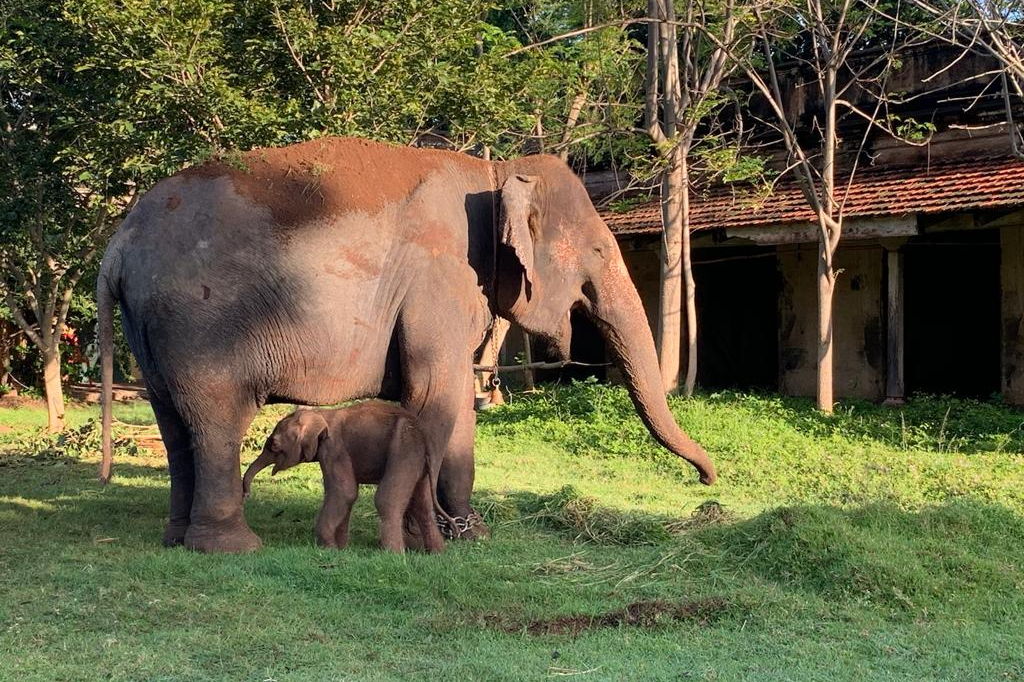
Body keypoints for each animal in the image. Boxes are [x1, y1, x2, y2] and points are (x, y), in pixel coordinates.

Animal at [241, 403, 450, 552]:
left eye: (274, 446)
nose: (246, 494)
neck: (321, 414)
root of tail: (424, 435)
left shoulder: (334, 449)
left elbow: (345, 492)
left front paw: (328, 548)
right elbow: (344, 496)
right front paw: (341, 548)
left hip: (404, 447)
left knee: (386, 500)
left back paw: (393, 554)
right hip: (418, 461)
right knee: (422, 506)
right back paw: (438, 553)